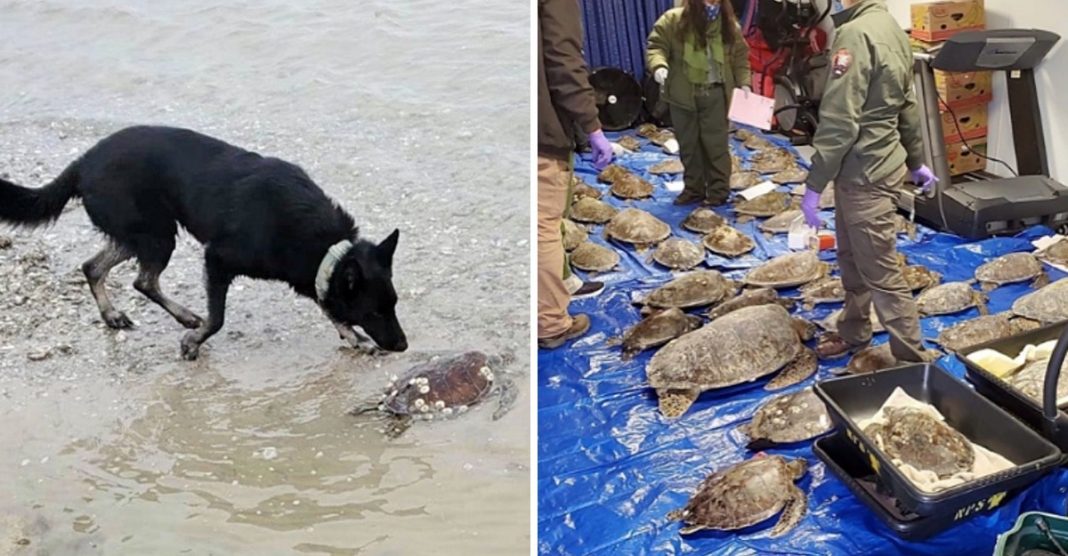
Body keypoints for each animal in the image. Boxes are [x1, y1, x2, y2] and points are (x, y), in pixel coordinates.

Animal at [0, 125, 407, 360]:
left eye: (394, 305)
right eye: (374, 312)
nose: (403, 345)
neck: (324, 248)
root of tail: (82, 163)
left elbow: (327, 306)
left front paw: (351, 336)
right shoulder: (218, 260)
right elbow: (218, 318)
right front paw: (194, 341)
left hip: (141, 234)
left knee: (94, 267)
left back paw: (112, 315)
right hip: (156, 235)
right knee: (142, 280)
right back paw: (182, 317)